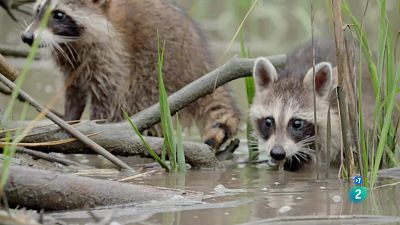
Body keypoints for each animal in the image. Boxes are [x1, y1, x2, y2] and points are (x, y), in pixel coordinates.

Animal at [21, 0, 239, 151]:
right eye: (38, 10)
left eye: (58, 14)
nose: (27, 37)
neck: (70, 42)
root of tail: (203, 67)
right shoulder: (71, 64)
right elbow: (74, 94)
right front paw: (69, 121)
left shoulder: (113, 56)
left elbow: (107, 98)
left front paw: (96, 126)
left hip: (158, 74)